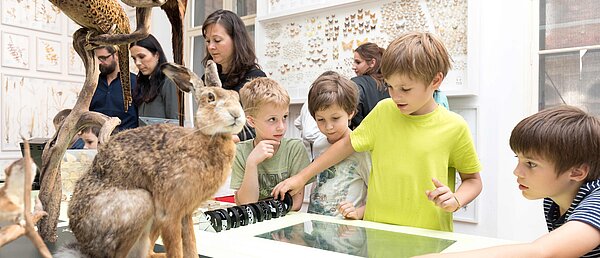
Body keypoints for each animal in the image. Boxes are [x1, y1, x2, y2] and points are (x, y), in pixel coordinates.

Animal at [56, 61, 244, 258]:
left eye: (236, 96)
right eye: (210, 97)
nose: (236, 114)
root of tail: (84, 245)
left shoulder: (185, 213)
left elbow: (191, 244)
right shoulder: (169, 214)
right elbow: (176, 249)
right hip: (142, 205)